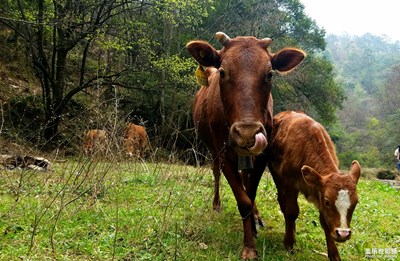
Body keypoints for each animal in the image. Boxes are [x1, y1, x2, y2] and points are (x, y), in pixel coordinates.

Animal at [186, 32, 304, 258]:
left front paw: (252, 227)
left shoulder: (262, 155)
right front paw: (249, 246)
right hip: (213, 150)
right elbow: (243, 201)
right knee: (216, 173)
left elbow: (250, 193)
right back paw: (216, 205)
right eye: (223, 72)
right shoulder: (224, 153)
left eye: (270, 74)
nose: (247, 132)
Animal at [268, 110, 360, 260]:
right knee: (282, 202)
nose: (343, 233)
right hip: (276, 175)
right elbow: (292, 211)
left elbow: (325, 221)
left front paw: (334, 253)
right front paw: (289, 242)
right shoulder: (290, 183)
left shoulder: (320, 191)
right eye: (328, 201)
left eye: (356, 202)